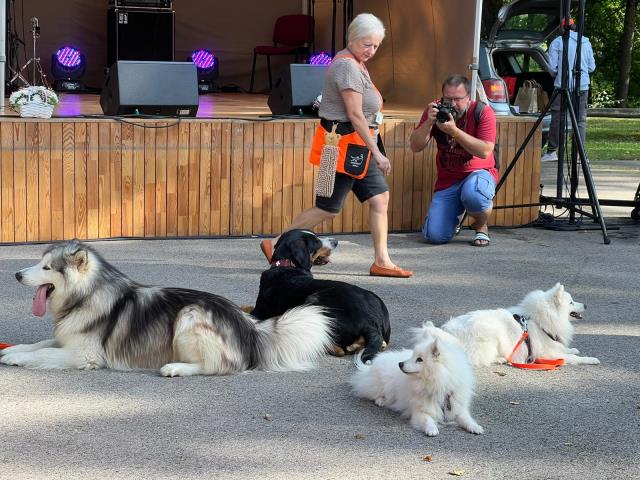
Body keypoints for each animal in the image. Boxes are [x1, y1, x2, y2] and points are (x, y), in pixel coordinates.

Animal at [0, 240, 330, 376]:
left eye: (46, 267)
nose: (16, 274)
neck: (87, 294)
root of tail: (250, 328)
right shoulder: (67, 338)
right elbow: (39, 344)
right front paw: (12, 349)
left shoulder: (85, 355)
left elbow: (42, 354)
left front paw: (15, 359)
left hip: (188, 316)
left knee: (219, 366)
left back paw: (175, 368)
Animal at [250, 229, 390, 360]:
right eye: (317, 242)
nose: (336, 241)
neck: (287, 265)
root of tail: (370, 321)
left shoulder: (258, 313)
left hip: (313, 299)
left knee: (338, 349)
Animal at [350, 320, 484, 436]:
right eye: (413, 356)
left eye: (419, 359)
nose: (400, 364)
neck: (437, 384)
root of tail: (371, 367)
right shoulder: (419, 412)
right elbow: (428, 420)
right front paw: (432, 429)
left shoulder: (457, 407)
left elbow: (466, 418)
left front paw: (475, 427)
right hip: (383, 385)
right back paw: (381, 400)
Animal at [440, 284, 600, 366]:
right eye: (571, 302)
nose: (586, 305)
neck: (540, 321)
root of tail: (449, 335)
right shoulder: (546, 353)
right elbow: (571, 358)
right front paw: (590, 359)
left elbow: (565, 350)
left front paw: (572, 349)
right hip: (490, 337)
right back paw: (501, 359)